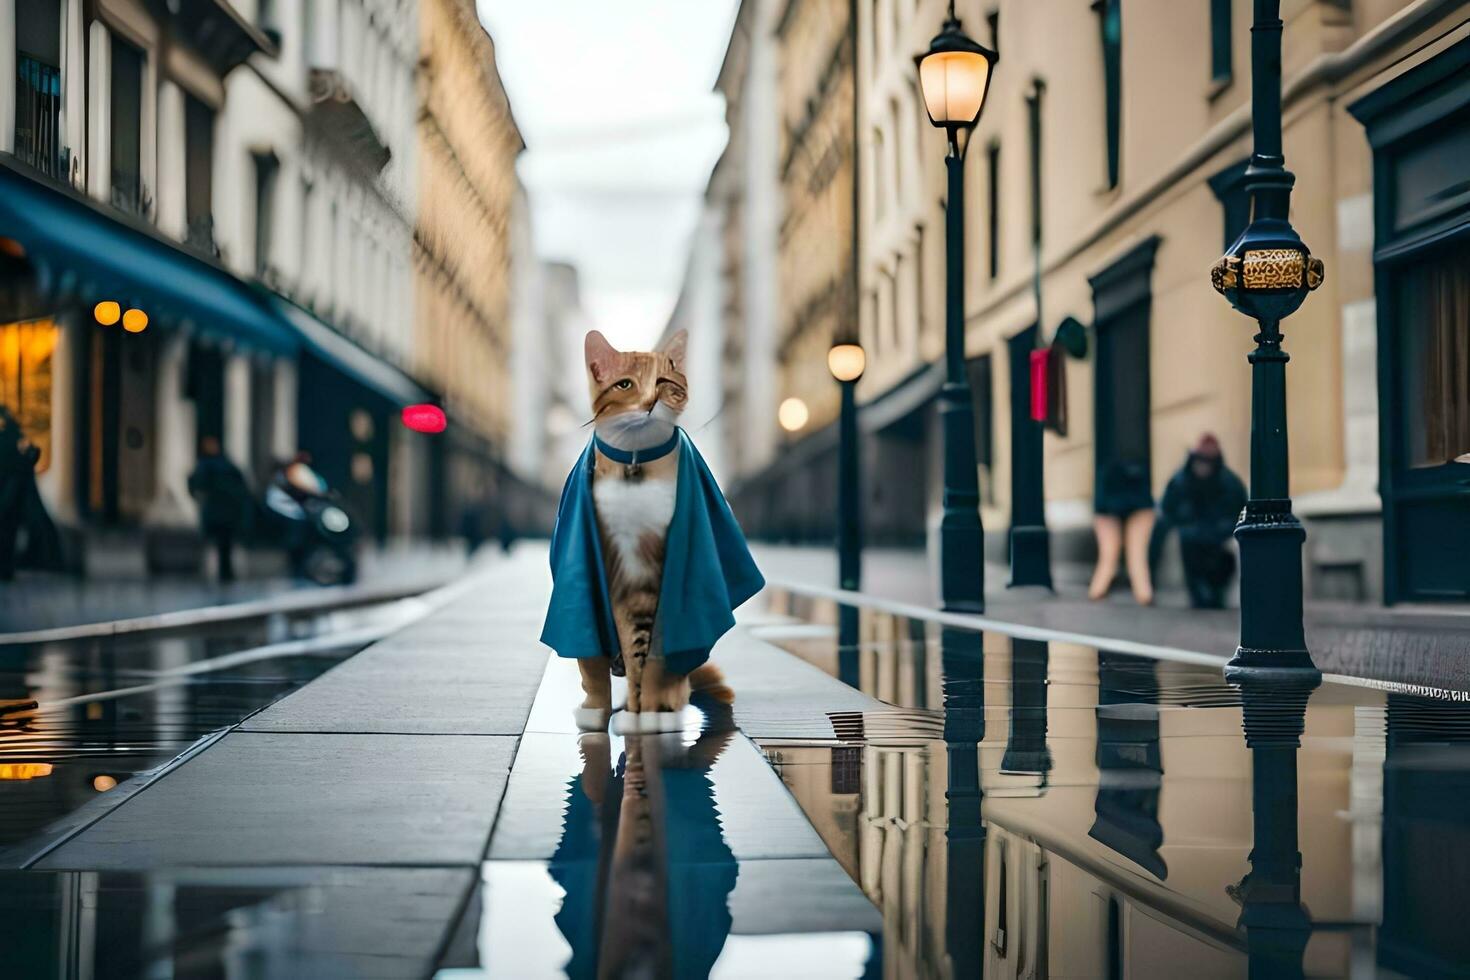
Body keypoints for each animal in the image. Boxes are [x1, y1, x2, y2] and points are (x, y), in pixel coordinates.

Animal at [573, 332, 735, 734]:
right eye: (625, 385)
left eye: (663, 382)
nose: (649, 404)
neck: (635, 465)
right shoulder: (616, 572)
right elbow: (630, 654)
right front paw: (631, 711)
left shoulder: (662, 571)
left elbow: (653, 660)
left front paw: (644, 716)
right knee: (592, 668)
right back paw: (594, 711)